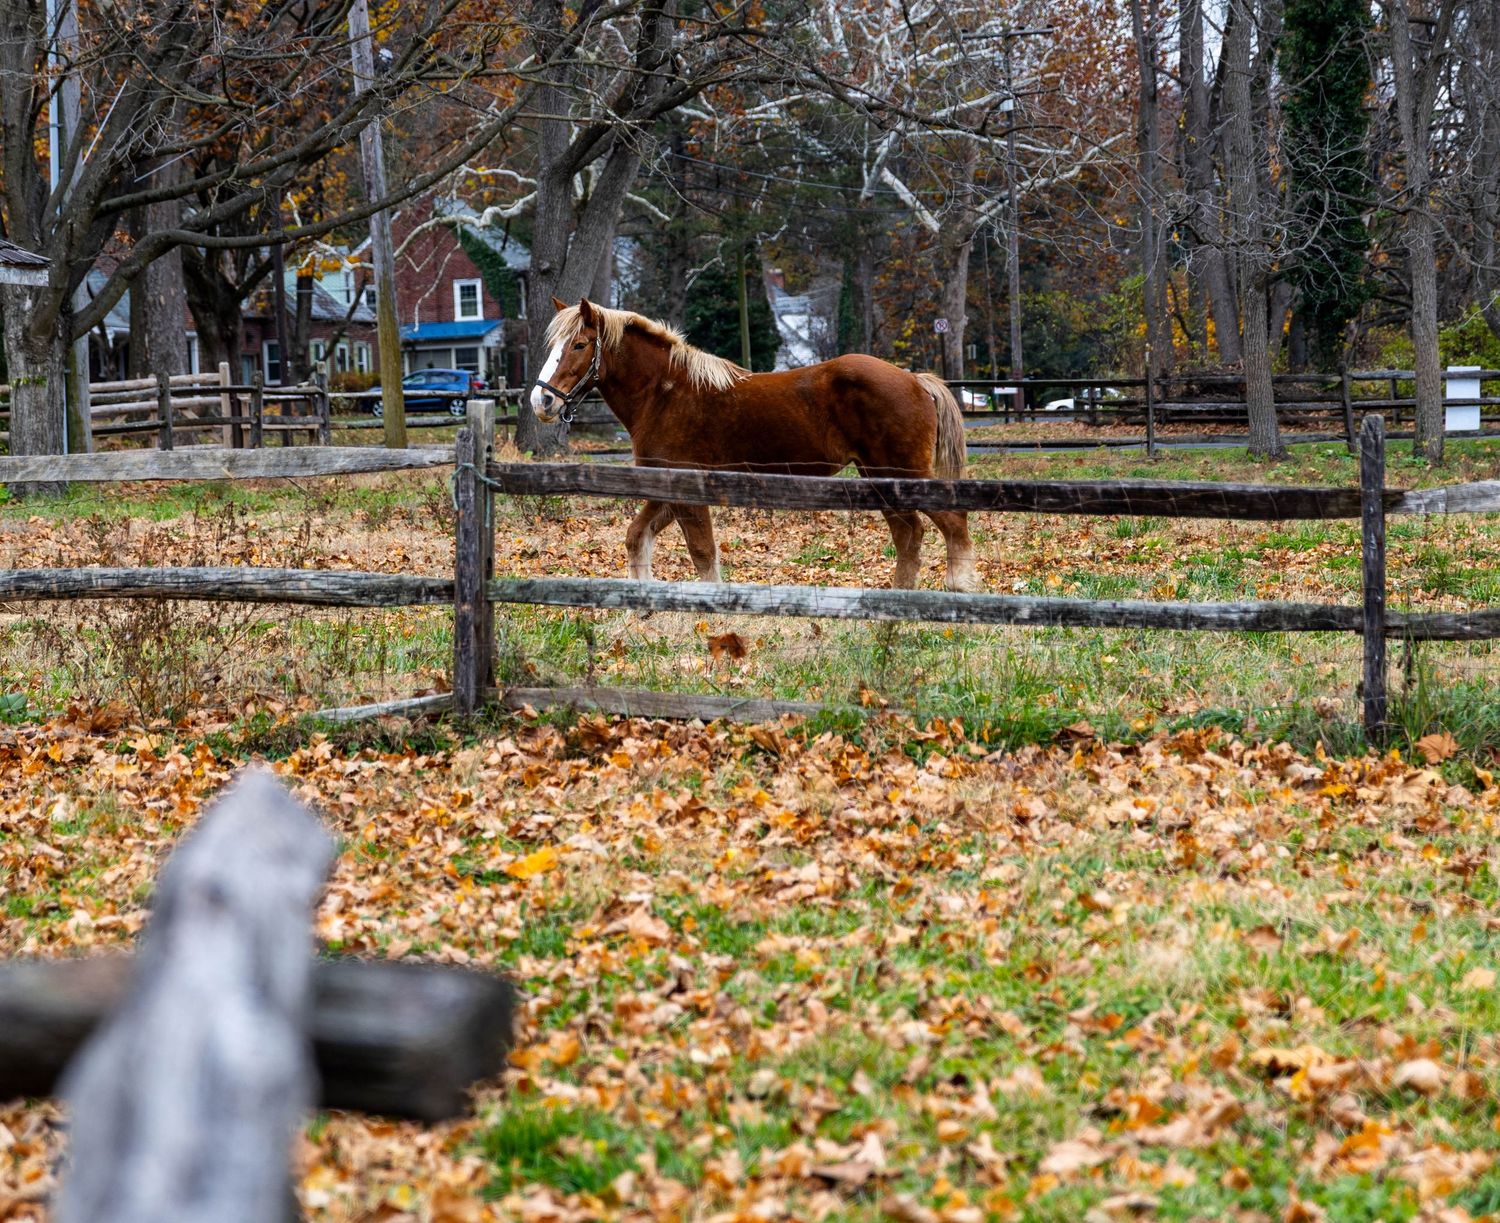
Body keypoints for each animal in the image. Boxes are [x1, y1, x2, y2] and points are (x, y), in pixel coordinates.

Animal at [530, 297, 981, 593]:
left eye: (580, 344)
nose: (542, 401)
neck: (665, 393)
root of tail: (915, 379)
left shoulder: (687, 489)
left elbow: (702, 553)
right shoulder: (665, 490)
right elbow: (636, 537)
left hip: (901, 473)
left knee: (950, 522)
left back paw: (958, 587)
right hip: (880, 478)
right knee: (909, 534)